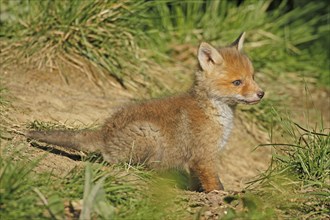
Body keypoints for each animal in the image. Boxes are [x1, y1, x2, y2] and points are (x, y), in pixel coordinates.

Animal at [26, 32, 262, 192]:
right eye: (237, 82)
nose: (261, 94)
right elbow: (215, 184)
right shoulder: (204, 156)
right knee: (119, 163)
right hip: (149, 137)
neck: (214, 113)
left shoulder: (198, 160)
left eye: (252, 77)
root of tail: (104, 133)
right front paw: (220, 195)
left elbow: (197, 182)